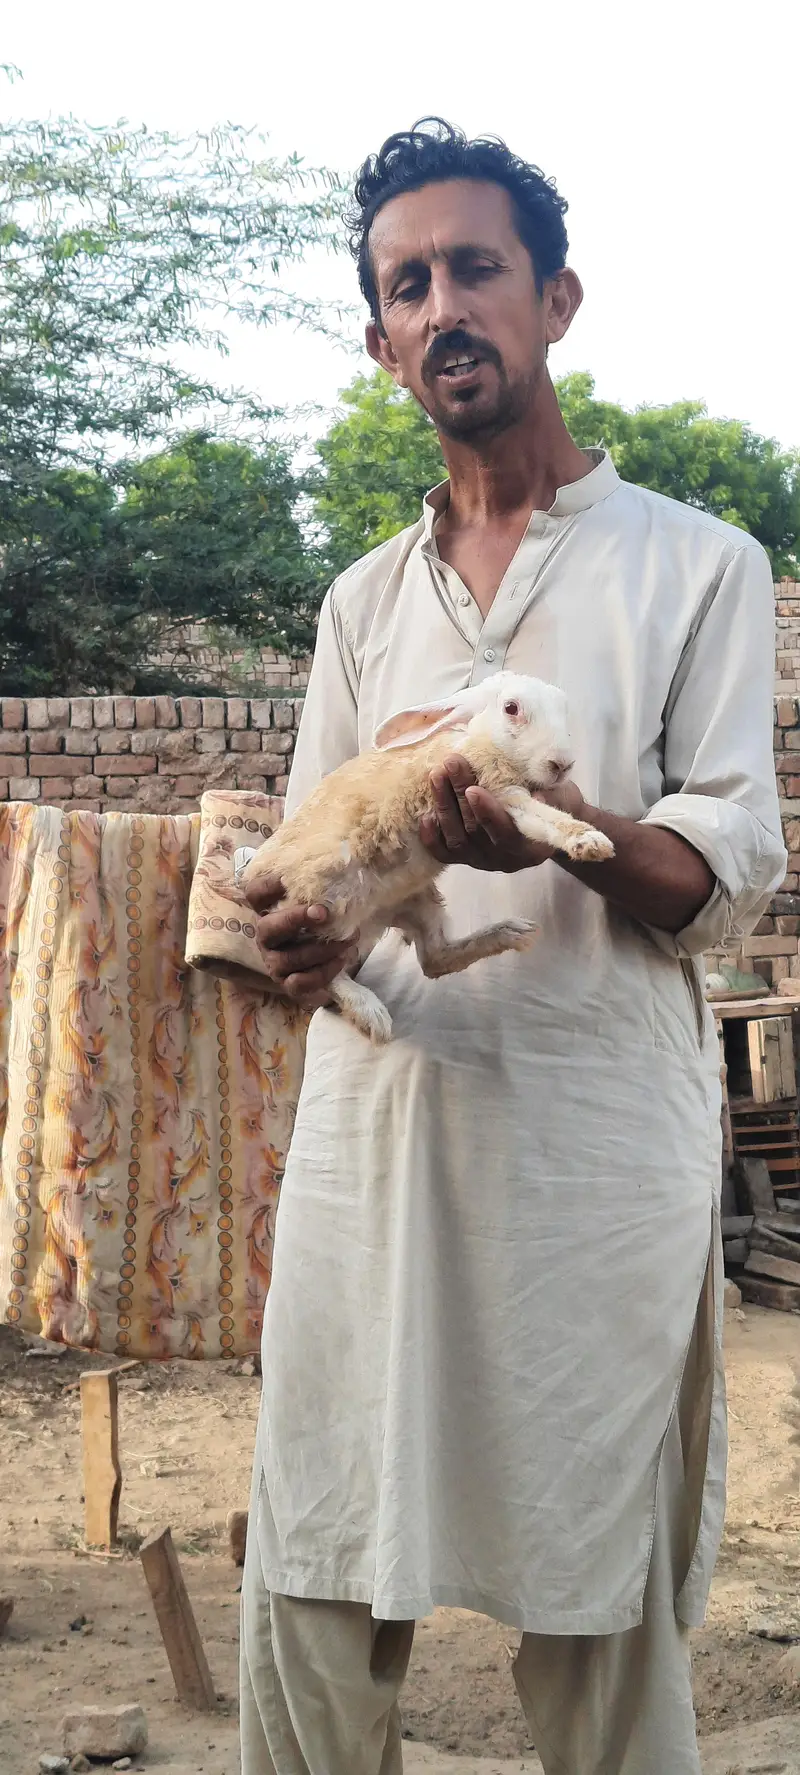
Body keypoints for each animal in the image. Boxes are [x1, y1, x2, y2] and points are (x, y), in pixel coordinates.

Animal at [240, 671, 615, 1046]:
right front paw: (591, 842)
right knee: (324, 974)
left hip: (419, 900)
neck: (478, 736)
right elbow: (547, 818)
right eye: (511, 708)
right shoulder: (499, 791)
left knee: (434, 959)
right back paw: (372, 1014)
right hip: (320, 902)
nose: (562, 764)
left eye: (564, 707)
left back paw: (514, 932)